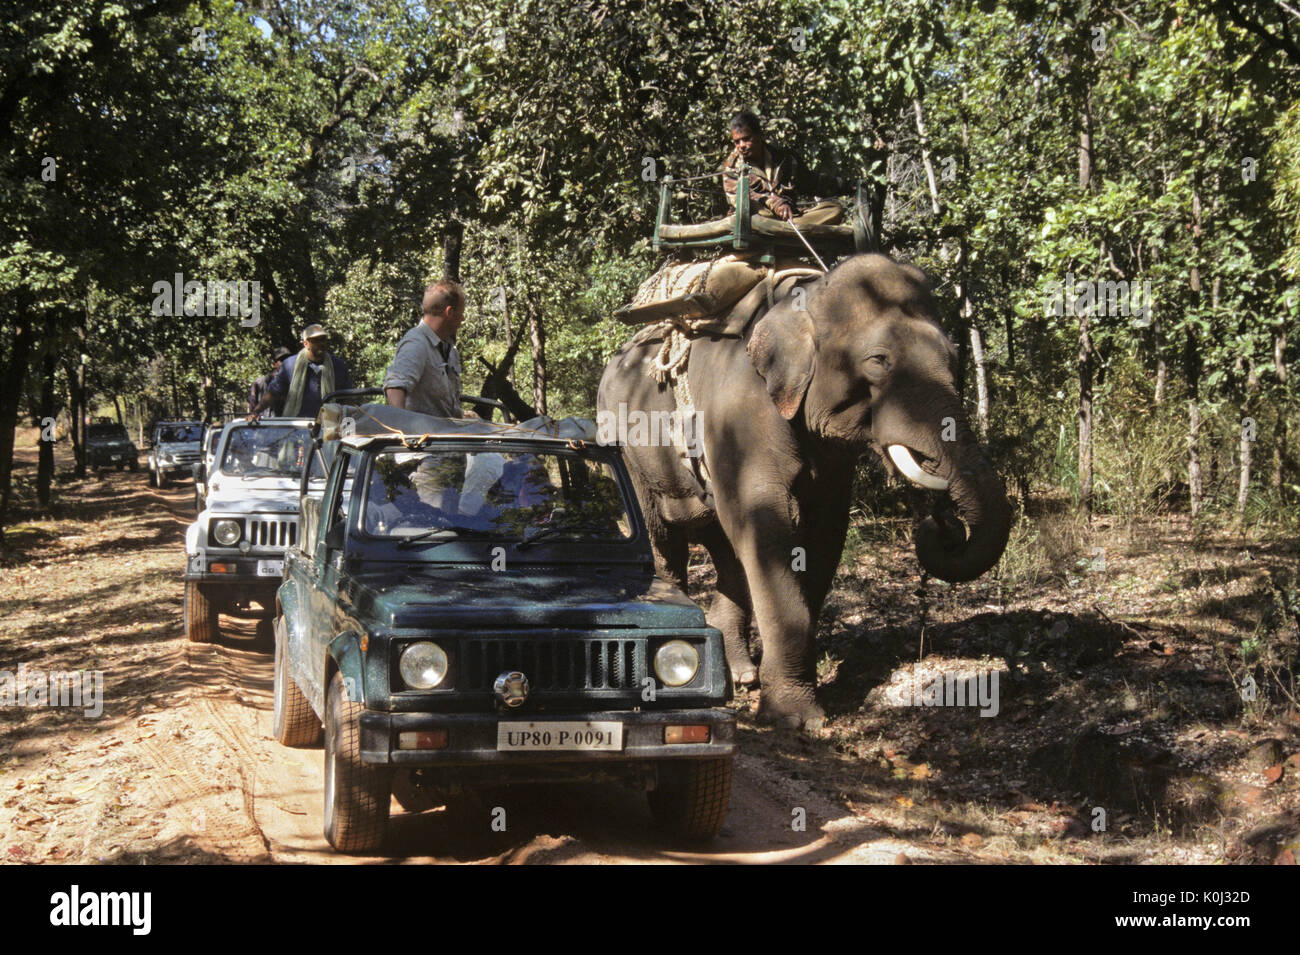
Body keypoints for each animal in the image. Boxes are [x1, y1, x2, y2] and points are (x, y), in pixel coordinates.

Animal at [598, 250, 1013, 727]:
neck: (806, 297)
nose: (942, 524)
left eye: (953, 357)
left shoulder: (830, 458)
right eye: (879, 361)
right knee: (664, 538)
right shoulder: (739, 412)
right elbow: (766, 525)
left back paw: (742, 675)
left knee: (726, 549)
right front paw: (794, 719)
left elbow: (823, 533)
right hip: (627, 450)